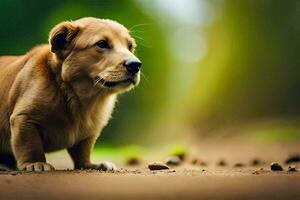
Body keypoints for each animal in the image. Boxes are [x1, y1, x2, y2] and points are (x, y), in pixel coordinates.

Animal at [0, 17, 141, 171]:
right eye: (102, 44)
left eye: (130, 46)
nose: (135, 65)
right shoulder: (24, 118)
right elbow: (30, 145)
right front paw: (35, 163)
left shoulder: (89, 132)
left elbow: (84, 150)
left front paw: (89, 164)